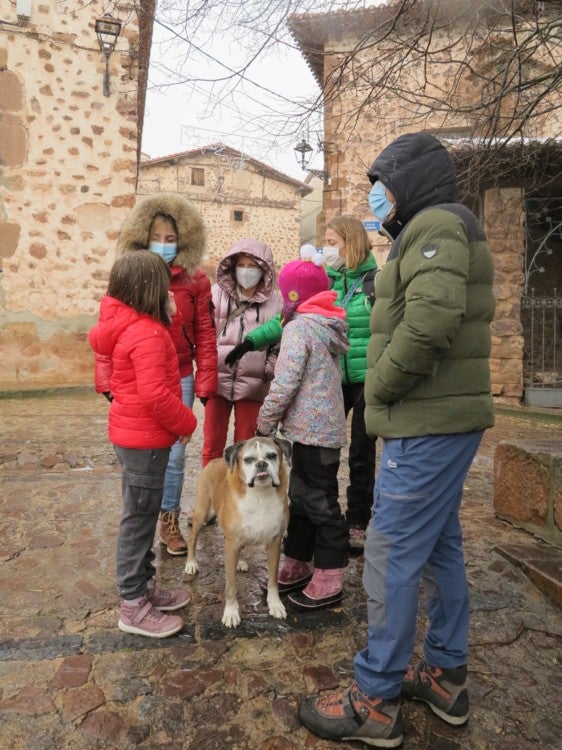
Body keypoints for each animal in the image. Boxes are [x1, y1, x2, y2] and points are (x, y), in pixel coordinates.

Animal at [185, 438, 290, 632]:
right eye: (248, 459)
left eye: (272, 455)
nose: (261, 464)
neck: (260, 495)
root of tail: (215, 460)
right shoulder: (232, 544)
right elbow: (231, 586)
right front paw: (231, 613)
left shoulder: (274, 543)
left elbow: (273, 580)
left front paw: (275, 604)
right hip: (202, 513)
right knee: (192, 537)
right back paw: (191, 563)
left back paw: (240, 562)